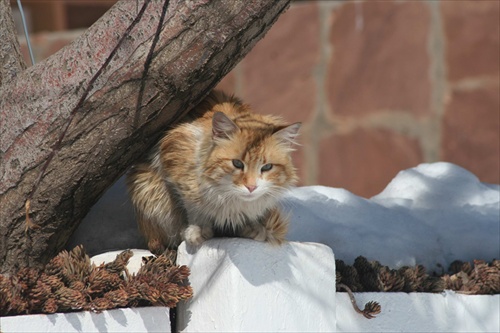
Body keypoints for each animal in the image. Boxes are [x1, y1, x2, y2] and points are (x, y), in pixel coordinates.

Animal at [127, 89, 298, 250]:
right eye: (237, 163)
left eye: (267, 167)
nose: (251, 187)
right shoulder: (175, 164)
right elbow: (192, 208)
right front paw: (197, 231)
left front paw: (253, 228)